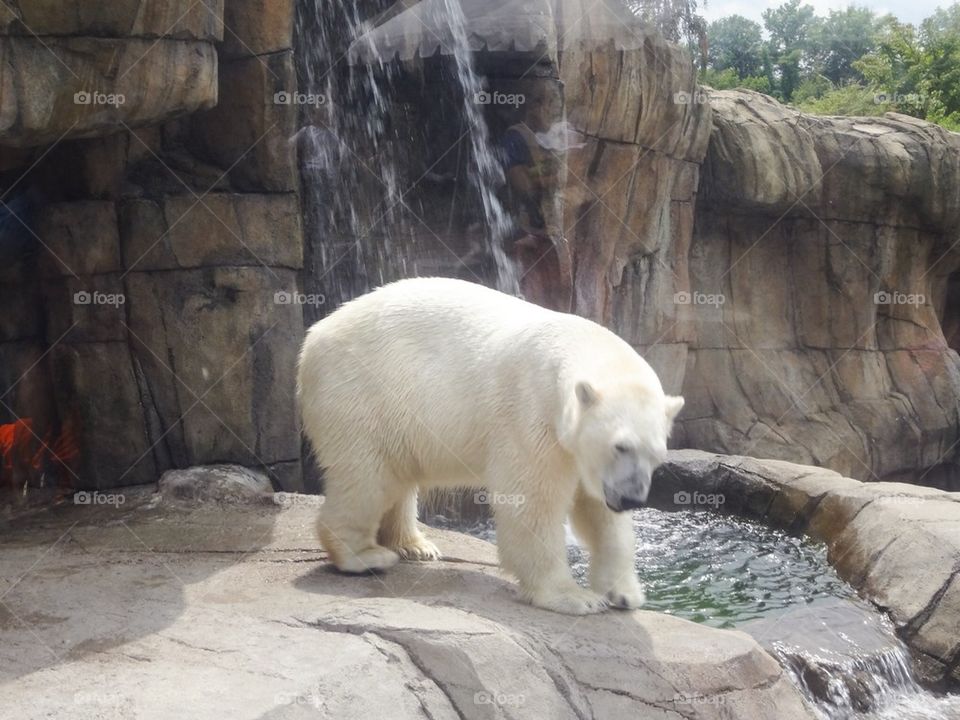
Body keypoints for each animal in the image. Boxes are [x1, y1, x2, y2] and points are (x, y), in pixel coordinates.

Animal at [300, 278, 684, 616]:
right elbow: (532, 504)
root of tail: (314, 335)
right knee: (367, 476)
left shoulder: (581, 457)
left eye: (657, 455)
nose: (632, 499)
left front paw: (624, 592)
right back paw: (365, 556)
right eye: (621, 446)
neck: (569, 348)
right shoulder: (531, 416)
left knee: (396, 475)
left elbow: (599, 514)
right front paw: (574, 597)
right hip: (362, 391)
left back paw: (415, 545)